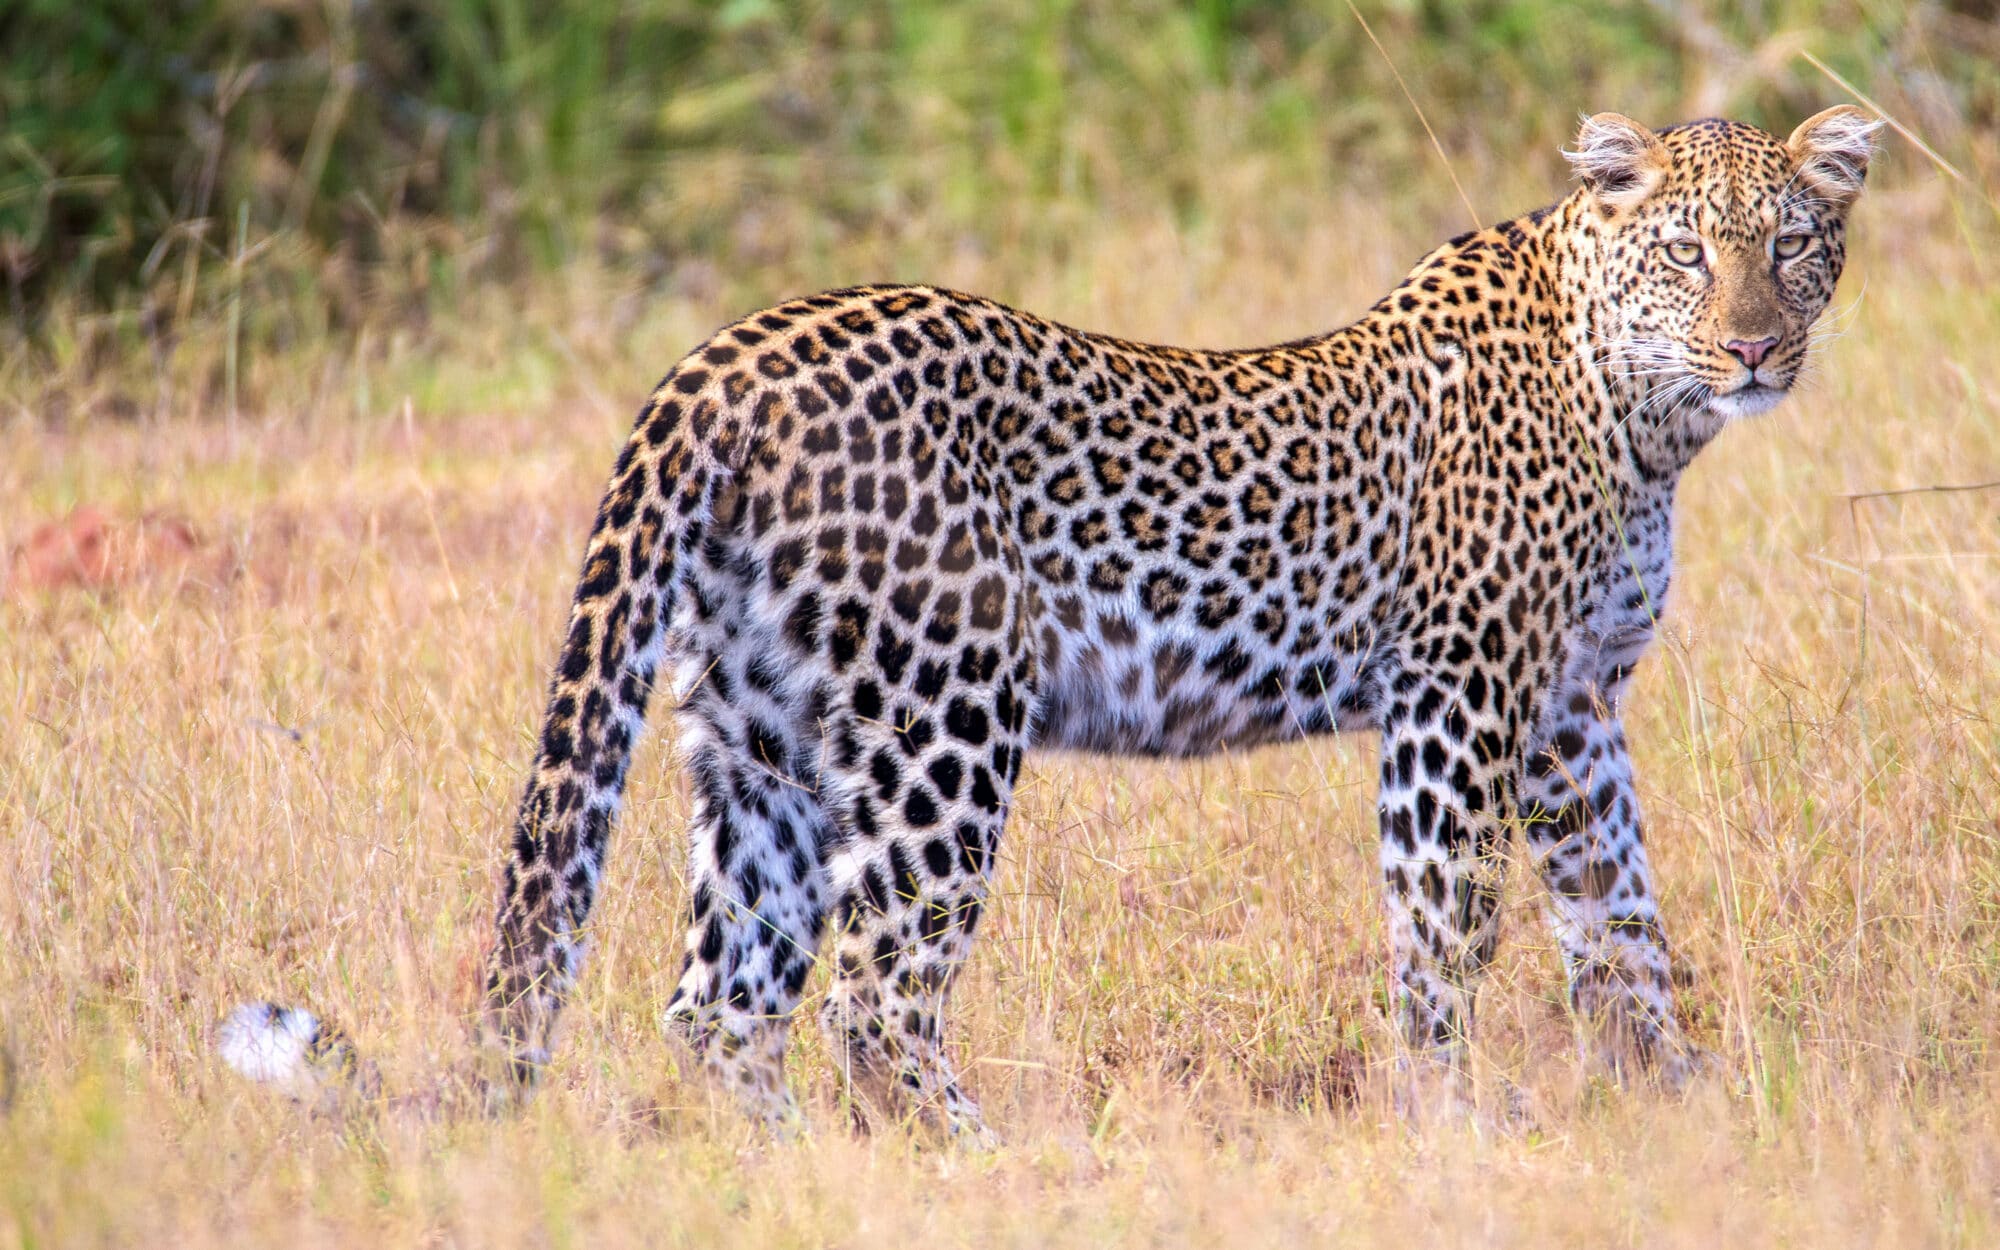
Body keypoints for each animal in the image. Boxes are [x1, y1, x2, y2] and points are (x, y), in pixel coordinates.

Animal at [221, 107, 1879, 1138]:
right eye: (1689, 252)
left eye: (1795, 246)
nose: (1756, 347)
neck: (1648, 421)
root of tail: (718, 361)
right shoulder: (1461, 696)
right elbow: (1447, 927)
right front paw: (1454, 1116)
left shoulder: (1573, 710)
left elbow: (1622, 920)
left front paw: (1673, 1095)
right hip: (941, 715)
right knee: (874, 1000)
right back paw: (998, 1162)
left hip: (758, 736)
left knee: (721, 1006)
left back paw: (796, 1176)